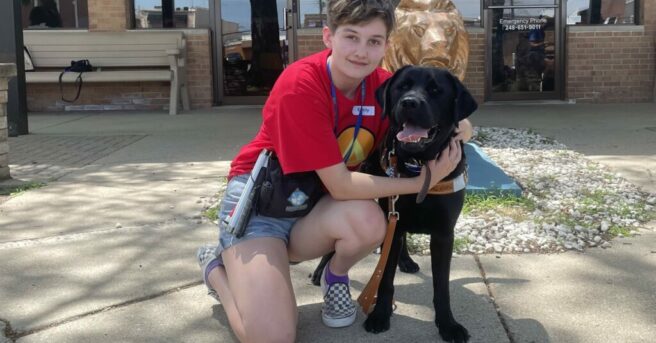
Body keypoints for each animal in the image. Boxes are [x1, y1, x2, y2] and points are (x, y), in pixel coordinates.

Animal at [312, 66, 476, 342]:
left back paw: (406, 260)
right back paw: (319, 271)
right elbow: (386, 279)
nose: (409, 102)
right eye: (402, 87)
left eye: (435, 90)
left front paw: (447, 324)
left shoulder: (443, 233)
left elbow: (441, 286)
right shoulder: (395, 218)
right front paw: (380, 315)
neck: (419, 166)